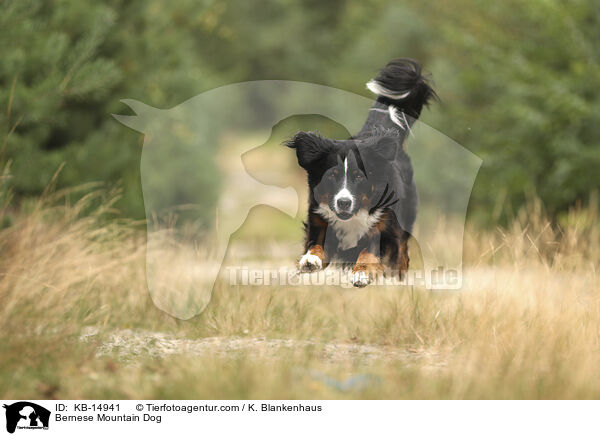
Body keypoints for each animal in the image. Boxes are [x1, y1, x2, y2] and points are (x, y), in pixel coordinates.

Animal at [286, 59, 436, 288]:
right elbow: (316, 245)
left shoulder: (384, 226)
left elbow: (370, 251)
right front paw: (310, 259)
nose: (343, 203)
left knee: (402, 252)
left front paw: (362, 273)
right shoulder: (320, 222)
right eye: (331, 175)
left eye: (359, 176)